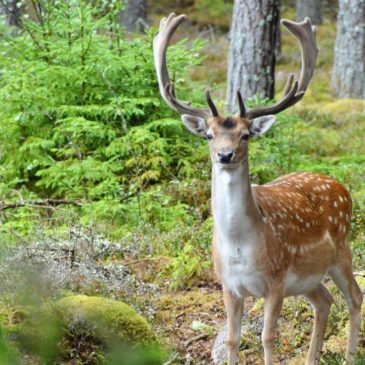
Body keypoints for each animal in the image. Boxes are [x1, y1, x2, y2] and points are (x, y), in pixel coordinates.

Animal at [152, 12, 362, 362]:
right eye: (208, 135)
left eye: (246, 134)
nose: (225, 155)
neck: (240, 247)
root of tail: (340, 186)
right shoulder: (228, 285)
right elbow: (232, 339)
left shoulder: (275, 280)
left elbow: (267, 337)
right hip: (307, 278)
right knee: (325, 301)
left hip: (342, 250)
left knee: (354, 297)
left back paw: (349, 356)